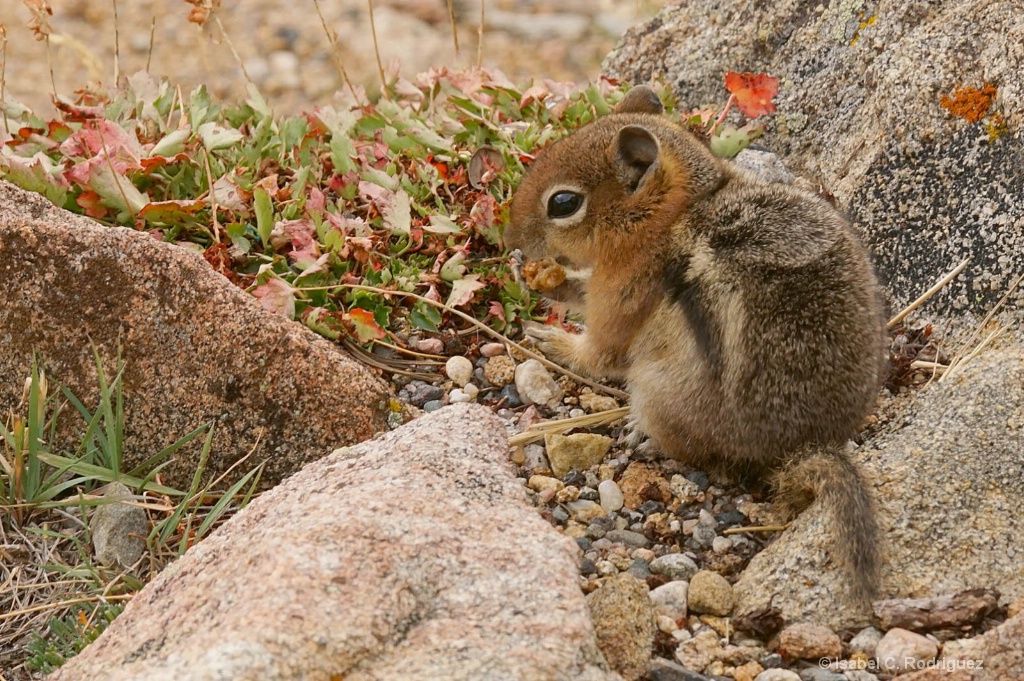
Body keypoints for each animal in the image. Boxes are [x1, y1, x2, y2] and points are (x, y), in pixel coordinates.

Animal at [503, 84, 888, 602]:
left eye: (562, 203)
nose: (508, 237)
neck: (673, 215)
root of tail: (801, 447)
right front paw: (536, 277)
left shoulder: (620, 296)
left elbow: (599, 351)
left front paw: (551, 336)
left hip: (656, 391)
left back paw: (641, 434)